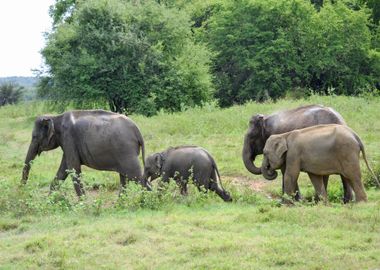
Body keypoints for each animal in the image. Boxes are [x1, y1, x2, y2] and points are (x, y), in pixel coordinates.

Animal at [20, 109, 148, 196]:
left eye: (34, 137)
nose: (22, 189)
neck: (56, 117)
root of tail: (138, 131)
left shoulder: (69, 138)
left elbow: (73, 168)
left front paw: (83, 205)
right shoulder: (68, 143)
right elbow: (64, 170)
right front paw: (49, 202)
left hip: (126, 151)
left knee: (136, 176)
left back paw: (147, 202)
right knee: (125, 177)